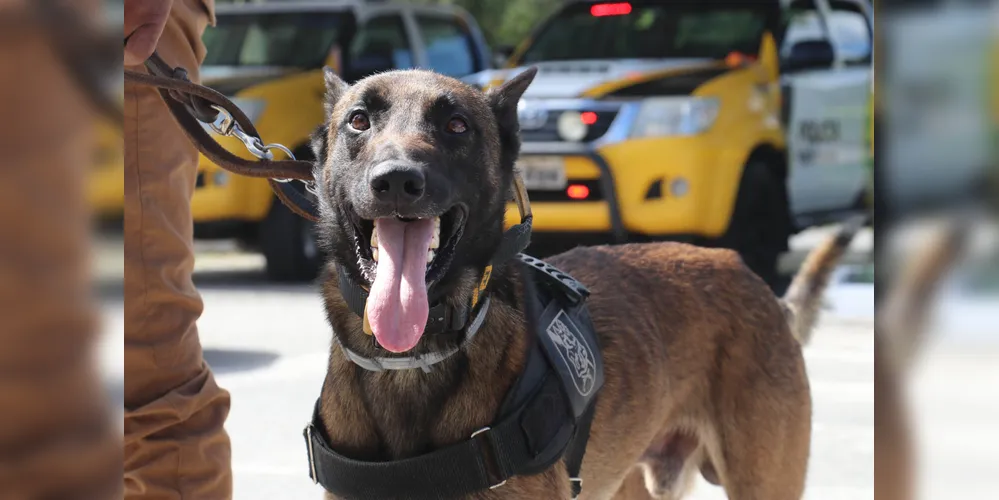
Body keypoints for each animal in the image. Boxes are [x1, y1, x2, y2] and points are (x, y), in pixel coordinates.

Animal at [308, 67, 864, 500]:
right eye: (359, 120)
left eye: (456, 125)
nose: (397, 180)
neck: (410, 359)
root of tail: (759, 284)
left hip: (763, 478)